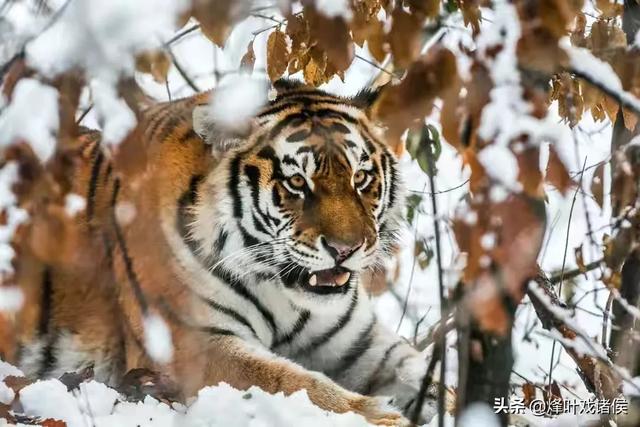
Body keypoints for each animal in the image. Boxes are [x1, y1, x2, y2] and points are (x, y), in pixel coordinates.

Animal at [3, 79, 436, 424]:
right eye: (296, 182)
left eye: (360, 178)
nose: (346, 248)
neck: (282, 291)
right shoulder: (194, 344)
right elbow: (293, 381)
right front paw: (380, 415)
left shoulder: (361, 345)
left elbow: (424, 372)